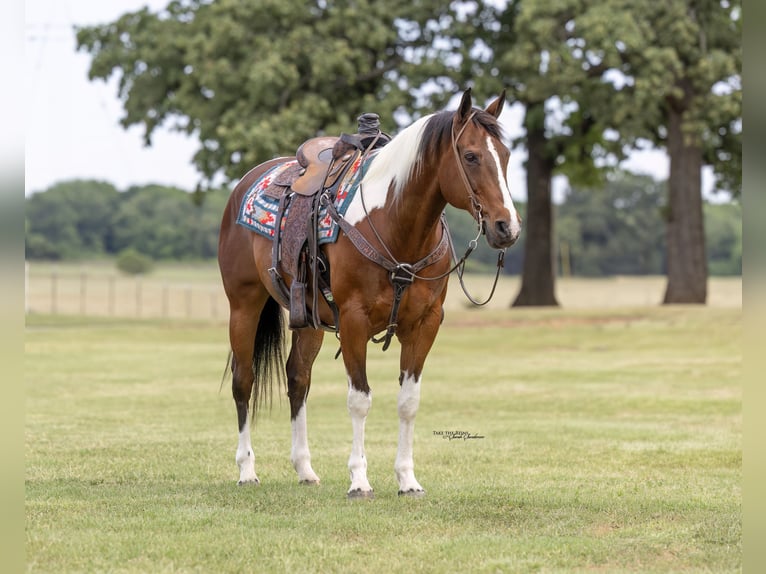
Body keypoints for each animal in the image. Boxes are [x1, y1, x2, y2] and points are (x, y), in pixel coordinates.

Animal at [217, 88, 522, 498]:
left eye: (505, 156)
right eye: (471, 156)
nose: (508, 227)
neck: (395, 224)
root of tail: (246, 182)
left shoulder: (425, 324)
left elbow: (408, 401)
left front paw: (407, 479)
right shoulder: (353, 321)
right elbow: (359, 400)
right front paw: (359, 479)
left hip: (309, 320)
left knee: (298, 379)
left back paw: (304, 468)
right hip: (243, 305)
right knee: (244, 380)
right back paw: (247, 469)